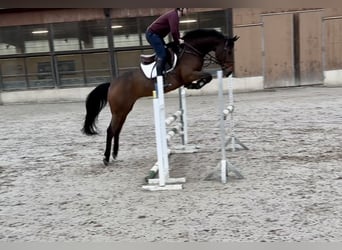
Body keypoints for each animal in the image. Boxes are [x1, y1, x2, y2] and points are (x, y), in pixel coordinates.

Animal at [82, 28, 239, 165]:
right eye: (228, 51)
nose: (229, 71)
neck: (191, 51)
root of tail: (112, 83)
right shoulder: (189, 74)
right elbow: (207, 76)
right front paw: (196, 85)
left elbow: (206, 77)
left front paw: (193, 86)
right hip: (118, 111)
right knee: (110, 130)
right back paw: (106, 158)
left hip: (125, 110)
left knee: (117, 130)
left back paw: (114, 154)